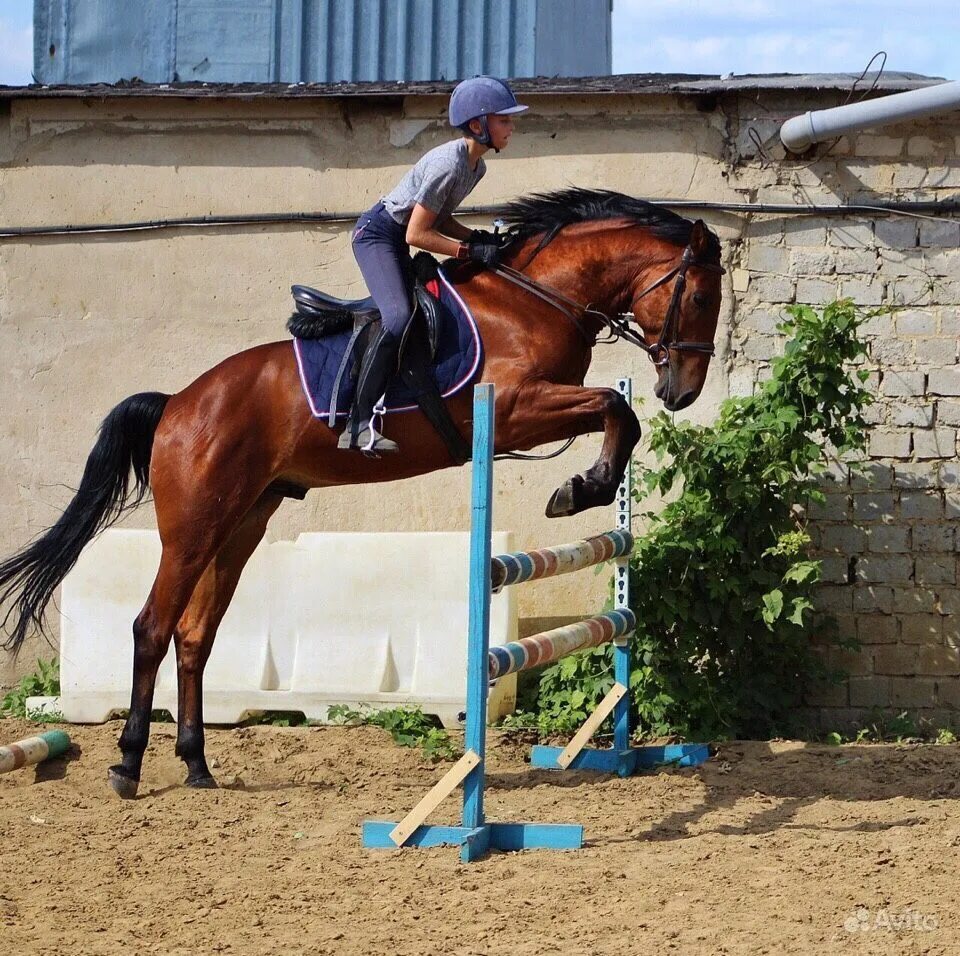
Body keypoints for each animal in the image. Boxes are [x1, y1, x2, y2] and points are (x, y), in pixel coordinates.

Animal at [0, 187, 720, 800]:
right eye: (700, 299)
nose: (681, 392)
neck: (537, 297)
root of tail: (178, 402)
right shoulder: (515, 407)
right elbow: (613, 407)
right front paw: (582, 488)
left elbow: (617, 414)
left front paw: (585, 486)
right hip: (192, 528)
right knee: (151, 627)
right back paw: (127, 764)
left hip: (241, 524)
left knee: (195, 635)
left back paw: (197, 763)